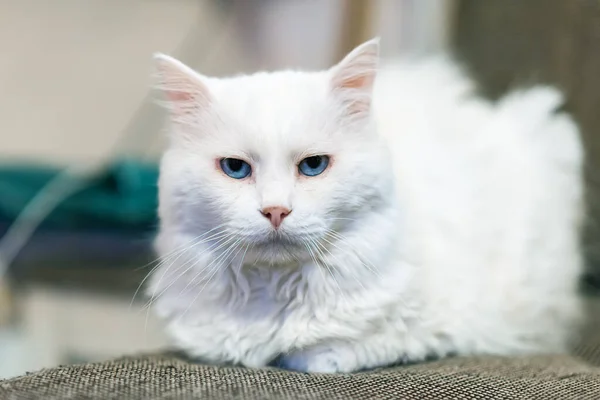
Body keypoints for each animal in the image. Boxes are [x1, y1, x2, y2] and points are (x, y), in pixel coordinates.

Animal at [148, 39, 584, 374]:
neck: (276, 295)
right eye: (236, 168)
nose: (275, 211)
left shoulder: (433, 329)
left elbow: (331, 350)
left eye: (313, 165)